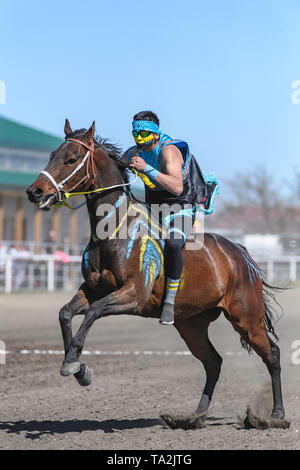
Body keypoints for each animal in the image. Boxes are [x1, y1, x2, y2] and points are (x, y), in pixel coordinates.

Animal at [26, 120, 286, 426]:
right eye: (52, 154)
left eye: (71, 159)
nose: (35, 192)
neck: (113, 233)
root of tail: (241, 254)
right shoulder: (92, 289)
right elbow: (66, 313)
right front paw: (78, 367)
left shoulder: (133, 295)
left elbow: (92, 312)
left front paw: (74, 364)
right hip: (191, 324)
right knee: (213, 363)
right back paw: (194, 415)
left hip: (247, 319)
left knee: (272, 356)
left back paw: (276, 415)